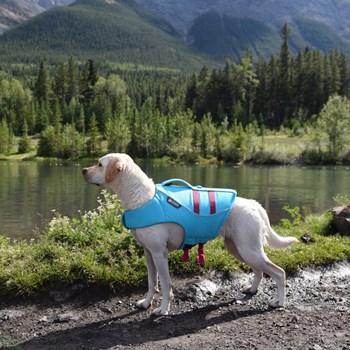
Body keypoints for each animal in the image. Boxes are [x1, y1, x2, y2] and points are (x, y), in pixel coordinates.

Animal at [82, 152, 298, 314]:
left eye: (99, 164)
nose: (83, 170)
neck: (141, 198)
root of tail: (255, 204)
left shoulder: (160, 254)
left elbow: (166, 286)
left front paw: (162, 309)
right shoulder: (148, 253)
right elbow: (152, 283)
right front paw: (146, 303)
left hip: (249, 250)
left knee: (279, 273)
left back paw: (279, 302)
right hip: (239, 248)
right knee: (259, 270)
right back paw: (252, 289)